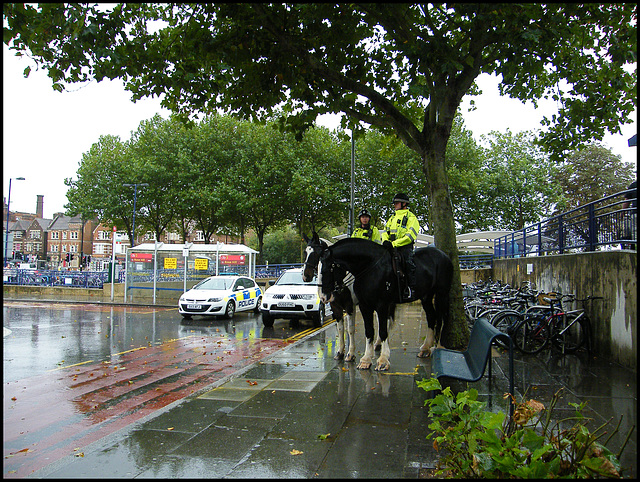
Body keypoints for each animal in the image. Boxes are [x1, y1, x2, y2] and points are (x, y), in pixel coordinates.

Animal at [302, 233, 452, 370]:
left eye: (330, 267)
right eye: (305, 253)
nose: (323, 296)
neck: (369, 267)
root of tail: (443, 255)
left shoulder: (373, 305)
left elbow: (373, 330)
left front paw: (382, 360)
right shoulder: (359, 306)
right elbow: (365, 330)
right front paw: (363, 358)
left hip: (442, 294)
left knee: (444, 317)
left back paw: (439, 346)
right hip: (426, 296)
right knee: (431, 317)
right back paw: (425, 347)